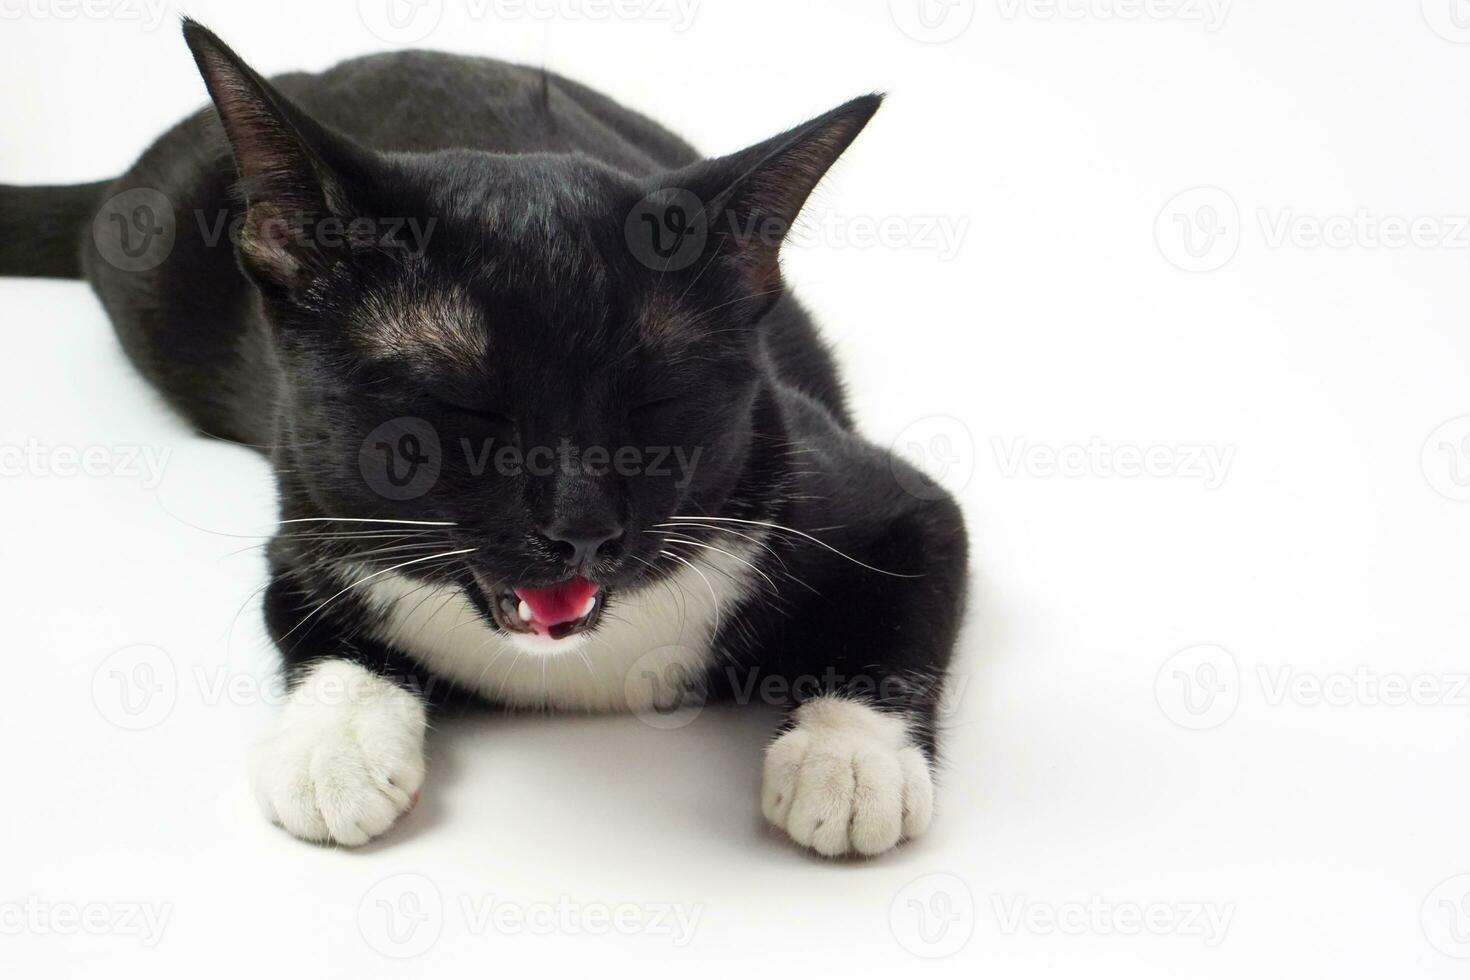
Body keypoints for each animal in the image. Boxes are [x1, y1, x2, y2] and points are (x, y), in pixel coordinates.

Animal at [0, 19, 970, 852]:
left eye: (653, 402)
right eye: (461, 406)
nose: (582, 528)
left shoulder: (846, 477)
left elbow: (915, 568)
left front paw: (852, 758)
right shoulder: (303, 507)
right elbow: (305, 613)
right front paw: (336, 743)